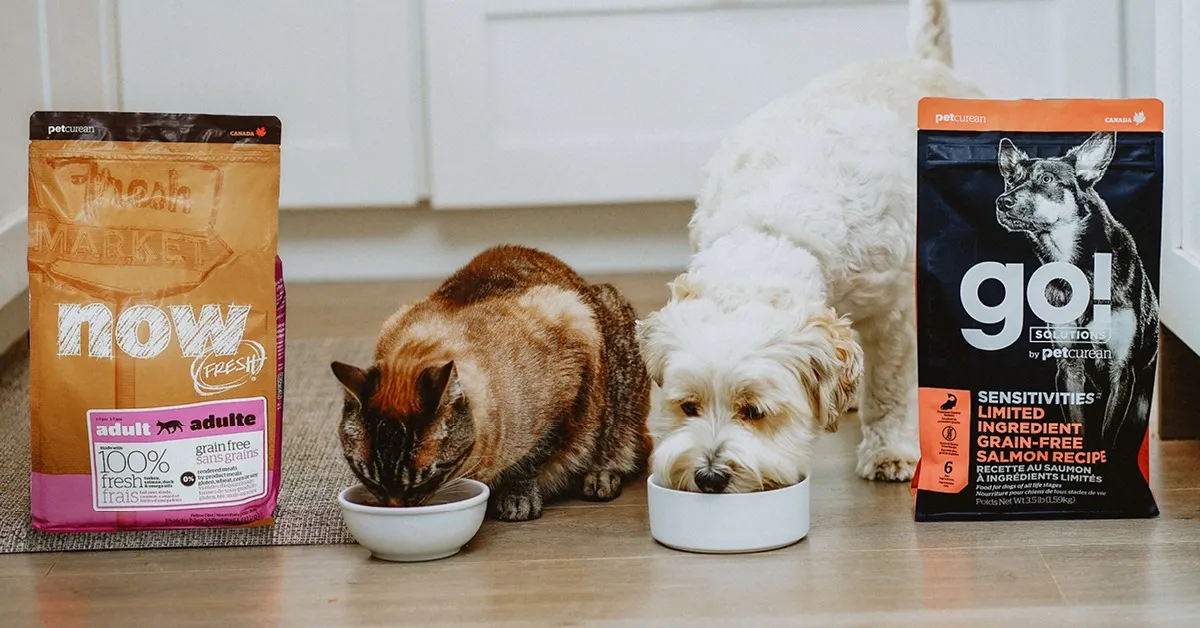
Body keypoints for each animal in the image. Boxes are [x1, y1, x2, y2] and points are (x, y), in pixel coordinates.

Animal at [328, 244, 652, 521]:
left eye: (424, 479)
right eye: (367, 475)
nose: (396, 508)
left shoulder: (570, 377)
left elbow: (530, 459)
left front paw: (517, 499)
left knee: (622, 445)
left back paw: (601, 475)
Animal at [638, 0, 984, 492]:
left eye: (754, 412)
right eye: (687, 406)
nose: (709, 476)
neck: (770, 228)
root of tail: (929, 62)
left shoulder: (892, 313)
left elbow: (890, 387)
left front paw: (889, 452)